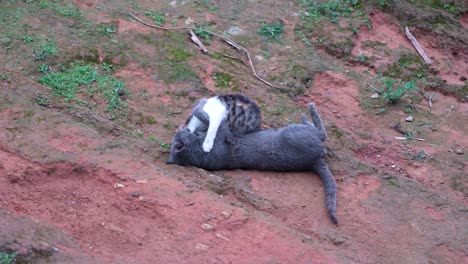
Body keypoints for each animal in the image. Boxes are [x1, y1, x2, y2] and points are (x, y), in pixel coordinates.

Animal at [167, 100, 336, 224]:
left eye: (177, 135)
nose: (182, 128)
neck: (196, 152)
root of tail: (314, 161)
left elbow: (206, 119)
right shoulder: (223, 131)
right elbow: (206, 117)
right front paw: (200, 105)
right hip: (293, 133)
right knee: (322, 133)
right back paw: (308, 113)